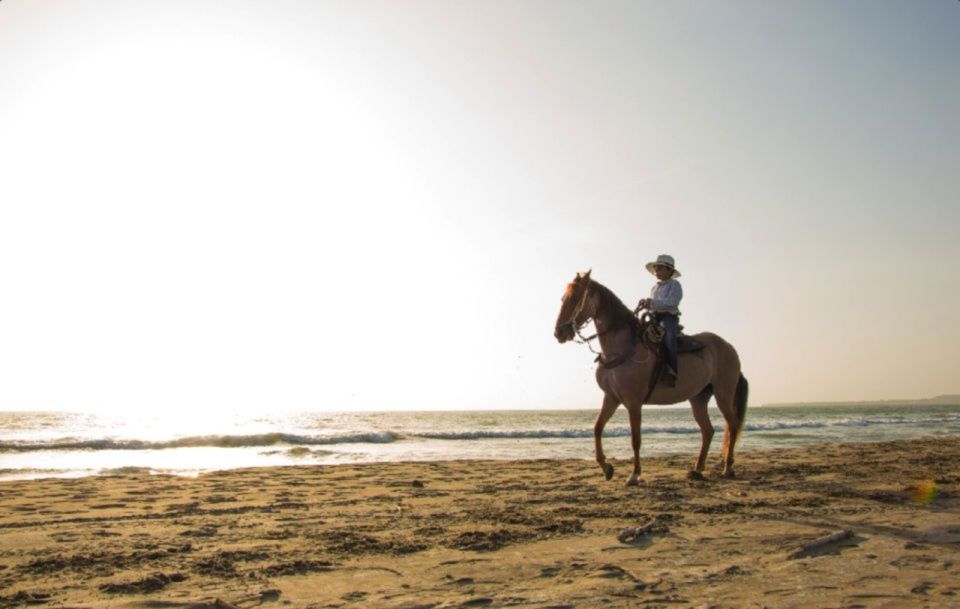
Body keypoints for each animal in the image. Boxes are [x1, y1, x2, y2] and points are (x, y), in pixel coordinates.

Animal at [552, 270, 748, 484]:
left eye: (575, 298)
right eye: (563, 298)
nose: (559, 332)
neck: (622, 348)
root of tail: (728, 347)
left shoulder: (633, 402)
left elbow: (635, 439)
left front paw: (634, 475)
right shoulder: (611, 398)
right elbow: (597, 428)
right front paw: (607, 468)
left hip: (723, 393)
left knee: (733, 425)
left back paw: (728, 468)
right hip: (699, 397)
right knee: (708, 430)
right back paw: (697, 470)